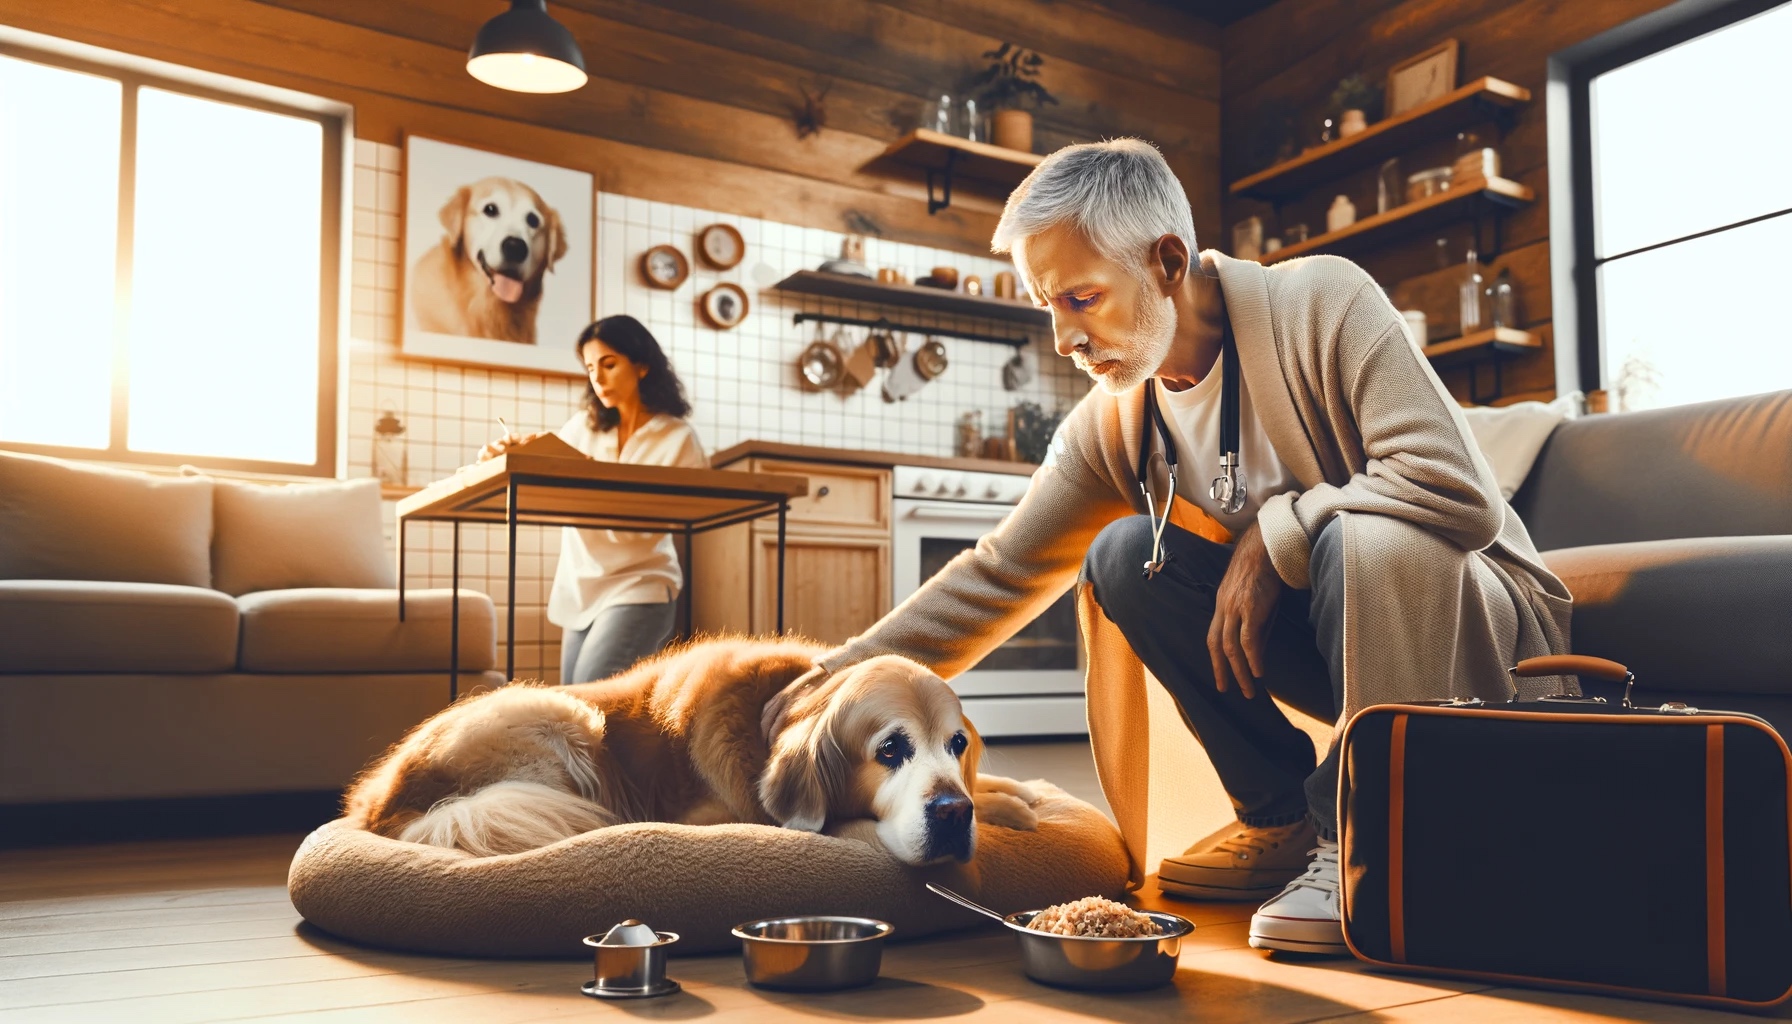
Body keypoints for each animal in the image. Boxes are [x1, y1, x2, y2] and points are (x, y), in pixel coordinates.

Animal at [342, 642, 1039, 864]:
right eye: (890, 748)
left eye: (957, 744)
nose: (952, 814)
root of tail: (383, 805)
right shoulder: (716, 816)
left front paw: (1014, 795)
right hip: (566, 718)